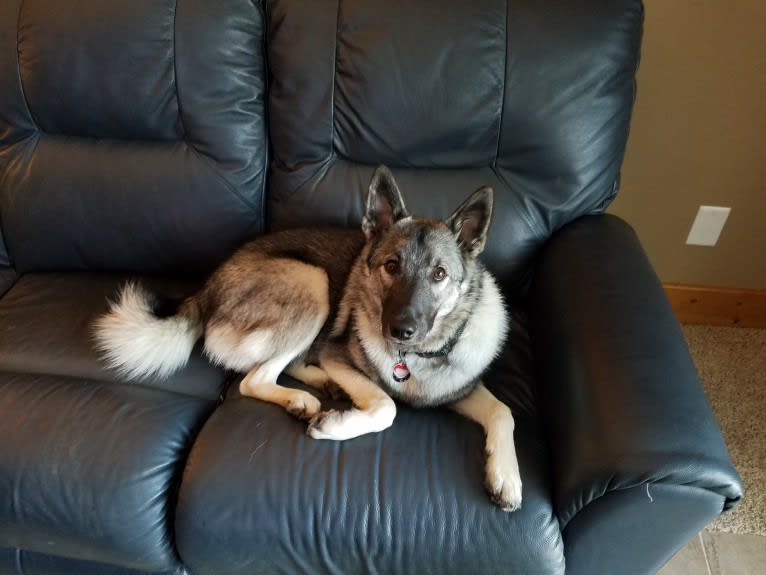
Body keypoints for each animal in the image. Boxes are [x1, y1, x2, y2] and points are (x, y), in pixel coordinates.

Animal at [90, 164, 520, 510]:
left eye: (439, 274)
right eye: (391, 266)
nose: (400, 330)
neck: (417, 357)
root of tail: (208, 287)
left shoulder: (461, 388)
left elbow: (503, 411)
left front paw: (507, 477)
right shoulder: (339, 355)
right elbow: (387, 407)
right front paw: (335, 425)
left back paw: (319, 386)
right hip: (312, 281)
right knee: (254, 378)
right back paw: (302, 397)